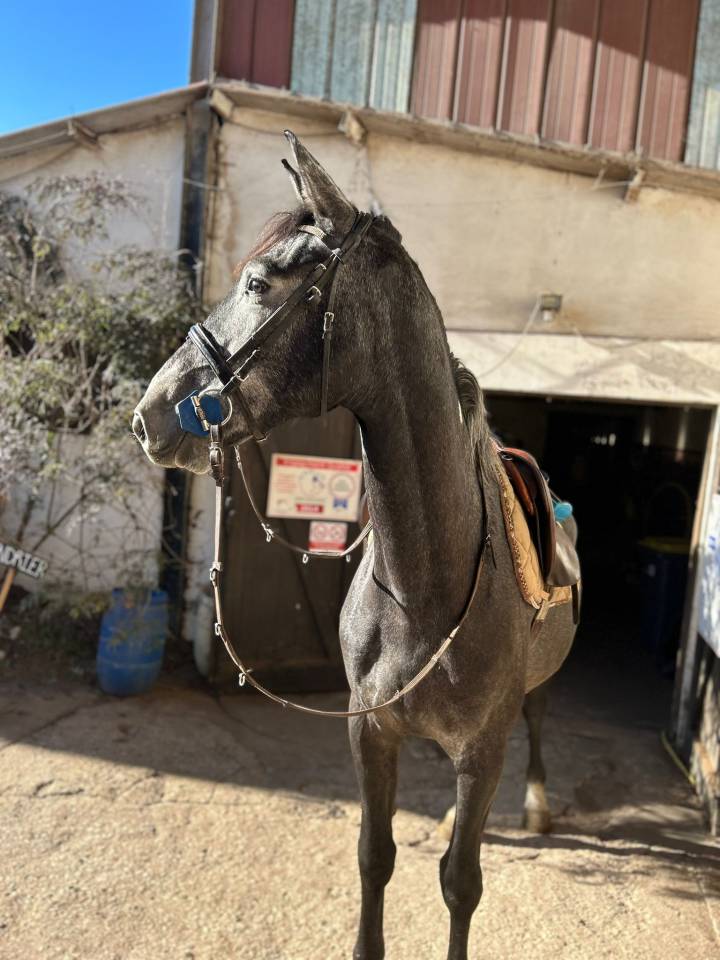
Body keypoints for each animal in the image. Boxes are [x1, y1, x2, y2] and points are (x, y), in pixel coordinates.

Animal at [133, 132, 578, 960]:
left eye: (258, 282)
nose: (148, 413)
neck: (426, 583)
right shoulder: (371, 731)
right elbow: (376, 857)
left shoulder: (481, 748)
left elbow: (461, 883)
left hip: (527, 703)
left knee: (535, 724)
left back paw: (534, 803)